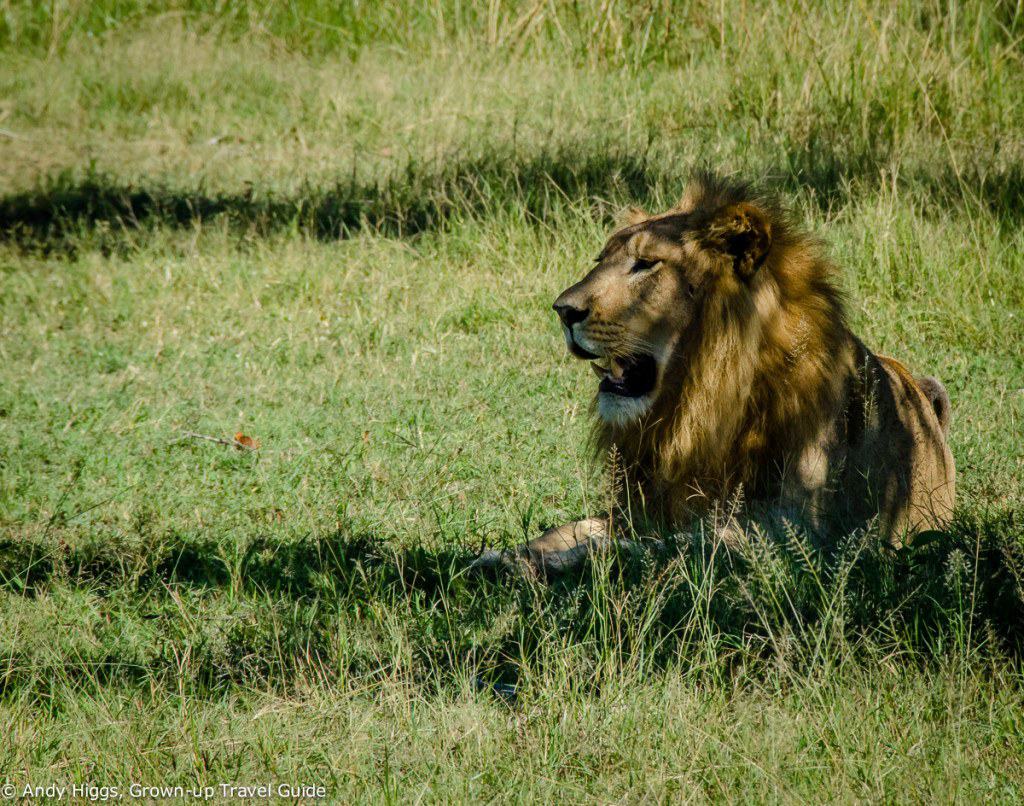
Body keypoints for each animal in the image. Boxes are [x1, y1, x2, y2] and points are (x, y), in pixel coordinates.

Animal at [475, 172, 954, 573]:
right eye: (599, 260)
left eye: (646, 264)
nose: (562, 311)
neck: (696, 405)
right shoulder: (644, 507)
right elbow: (572, 528)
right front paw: (501, 555)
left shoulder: (794, 533)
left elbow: (659, 545)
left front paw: (546, 564)